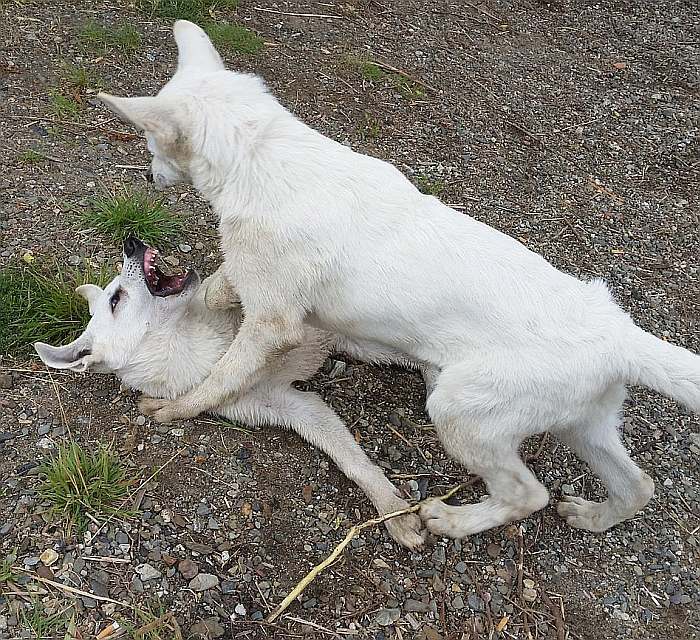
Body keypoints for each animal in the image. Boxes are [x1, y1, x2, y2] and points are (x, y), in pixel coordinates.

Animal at [95, 22, 696, 536]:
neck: (263, 155)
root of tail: (620, 335)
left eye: (149, 146)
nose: (147, 174)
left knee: (529, 494)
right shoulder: (256, 286)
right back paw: (594, 517)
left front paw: (176, 410)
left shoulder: (272, 322)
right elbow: (219, 284)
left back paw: (452, 520)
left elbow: (219, 378)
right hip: (583, 424)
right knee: (638, 485)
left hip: (459, 409)